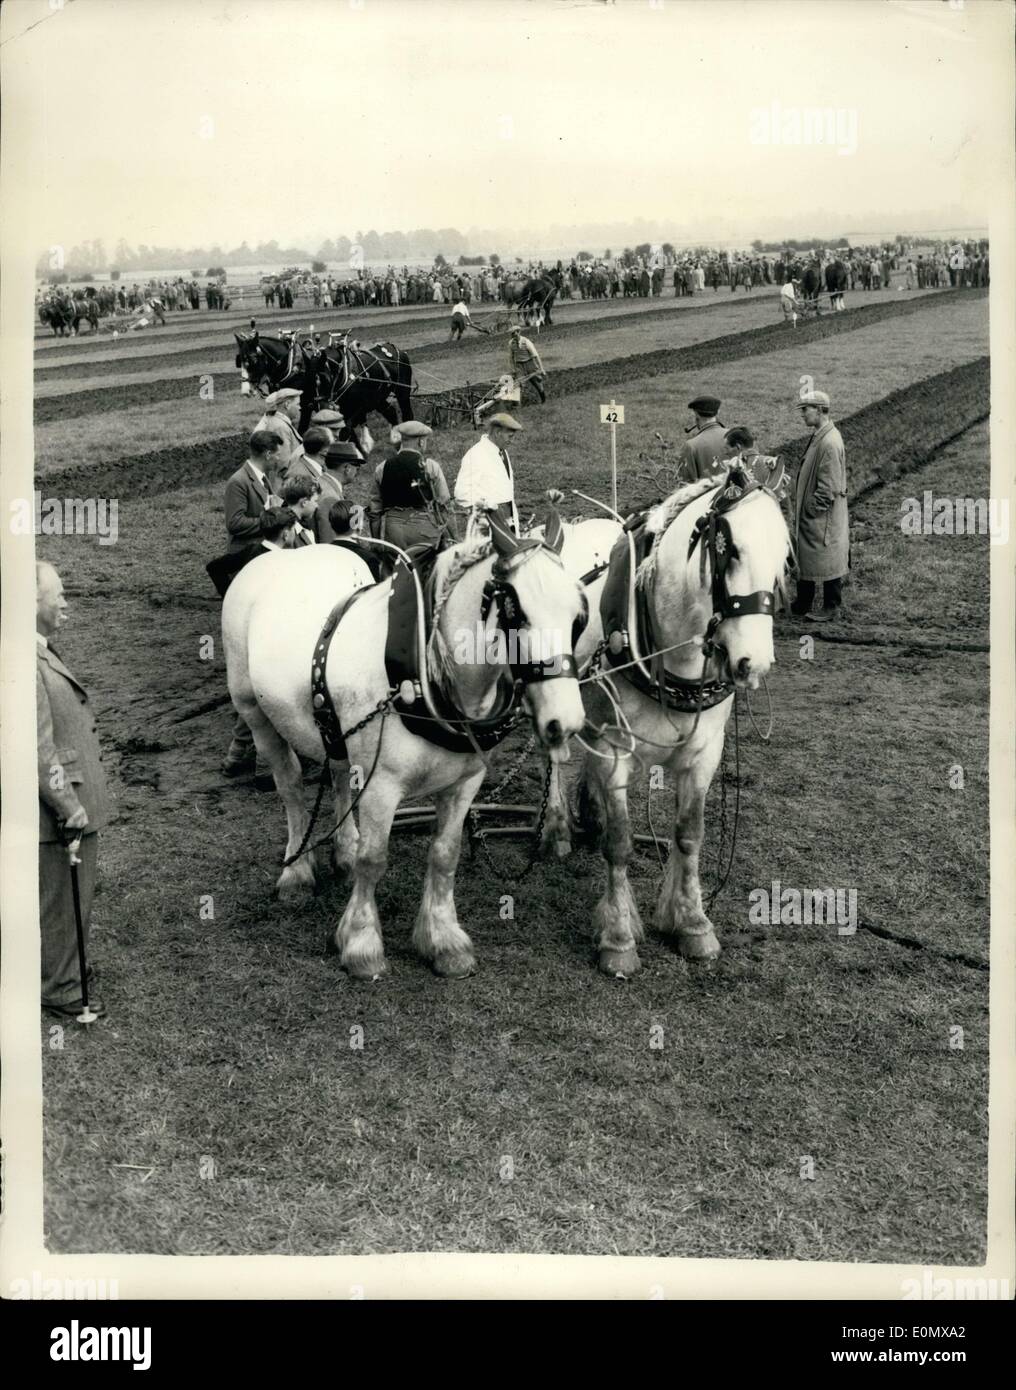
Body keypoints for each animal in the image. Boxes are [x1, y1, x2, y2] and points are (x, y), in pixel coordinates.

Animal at [222, 517, 589, 984]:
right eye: (516, 612)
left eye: (578, 616)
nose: (566, 722)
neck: (423, 673)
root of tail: (281, 555)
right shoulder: (382, 784)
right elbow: (374, 859)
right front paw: (361, 944)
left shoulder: (464, 783)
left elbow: (445, 855)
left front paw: (444, 940)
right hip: (256, 715)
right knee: (289, 789)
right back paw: (296, 873)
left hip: (336, 733)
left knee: (338, 776)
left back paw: (342, 850)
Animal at [544, 472, 789, 973]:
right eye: (730, 549)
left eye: (783, 557)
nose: (753, 663)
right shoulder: (615, 750)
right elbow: (619, 844)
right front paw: (618, 938)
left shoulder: (704, 754)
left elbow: (689, 836)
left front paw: (692, 923)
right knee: (555, 760)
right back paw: (557, 828)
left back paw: (589, 810)